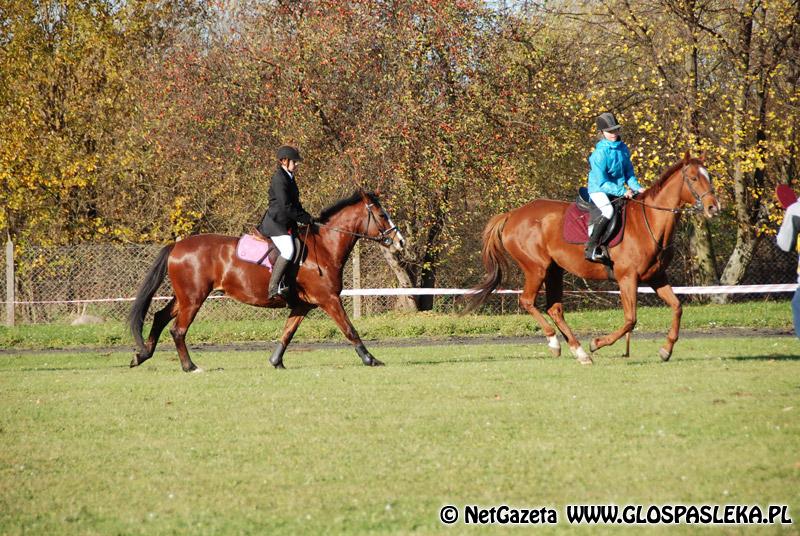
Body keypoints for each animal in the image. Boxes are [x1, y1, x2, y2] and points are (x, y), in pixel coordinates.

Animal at [128, 190, 405, 372]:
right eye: (382, 215)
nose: (401, 242)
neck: (325, 247)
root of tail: (176, 246)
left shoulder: (303, 304)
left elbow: (287, 333)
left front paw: (276, 362)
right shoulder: (329, 299)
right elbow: (350, 329)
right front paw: (370, 359)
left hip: (185, 297)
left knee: (160, 317)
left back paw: (141, 355)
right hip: (194, 298)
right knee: (178, 329)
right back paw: (189, 366)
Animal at [467, 152, 720, 364]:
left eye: (709, 176)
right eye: (694, 178)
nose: (713, 208)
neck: (650, 222)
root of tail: (512, 214)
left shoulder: (656, 277)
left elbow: (677, 307)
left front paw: (666, 350)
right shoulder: (627, 278)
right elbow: (631, 319)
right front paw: (597, 343)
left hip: (554, 270)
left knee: (555, 309)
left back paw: (579, 352)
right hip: (536, 268)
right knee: (528, 301)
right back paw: (555, 342)